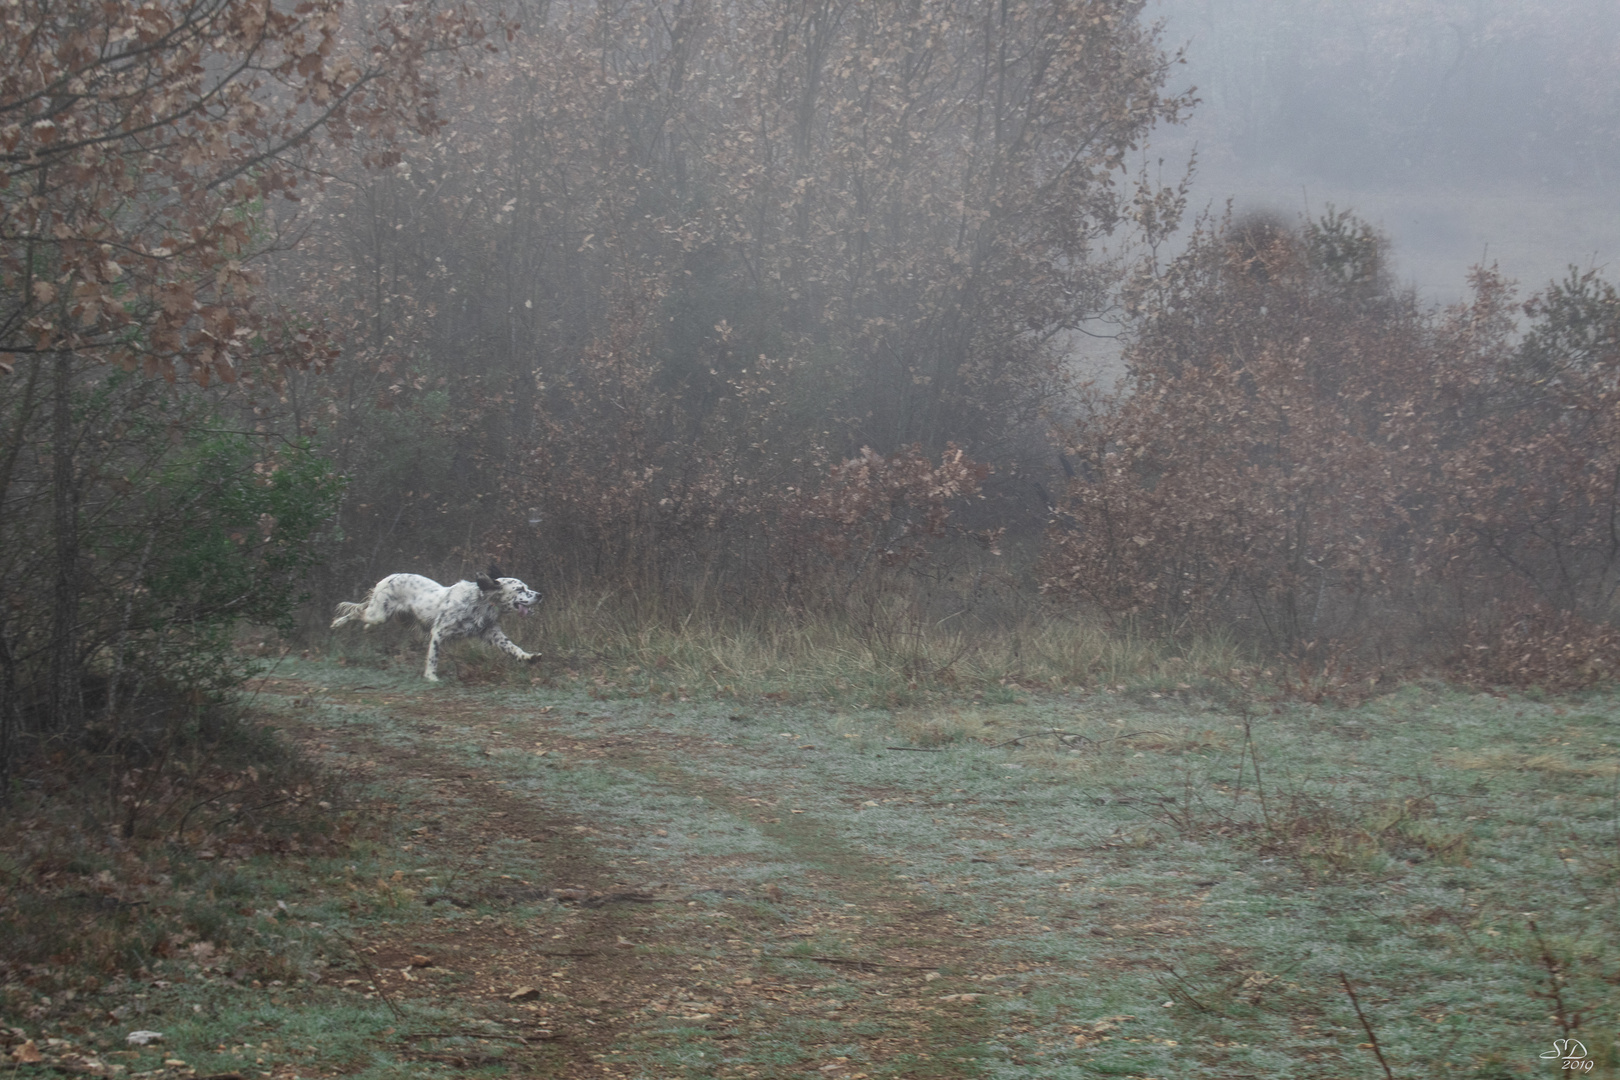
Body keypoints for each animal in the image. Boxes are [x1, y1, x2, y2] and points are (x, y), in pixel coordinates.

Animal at [330, 569, 544, 680]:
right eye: (520, 589)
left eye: (526, 587)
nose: (540, 595)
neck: (481, 602)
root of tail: (389, 577)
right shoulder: (439, 632)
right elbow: (433, 657)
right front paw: (431, 677)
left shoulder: (491, 632)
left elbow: (513, 647)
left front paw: (530, 657)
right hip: (379, 614)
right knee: (357, 612)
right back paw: (337, 623)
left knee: (363, 615)